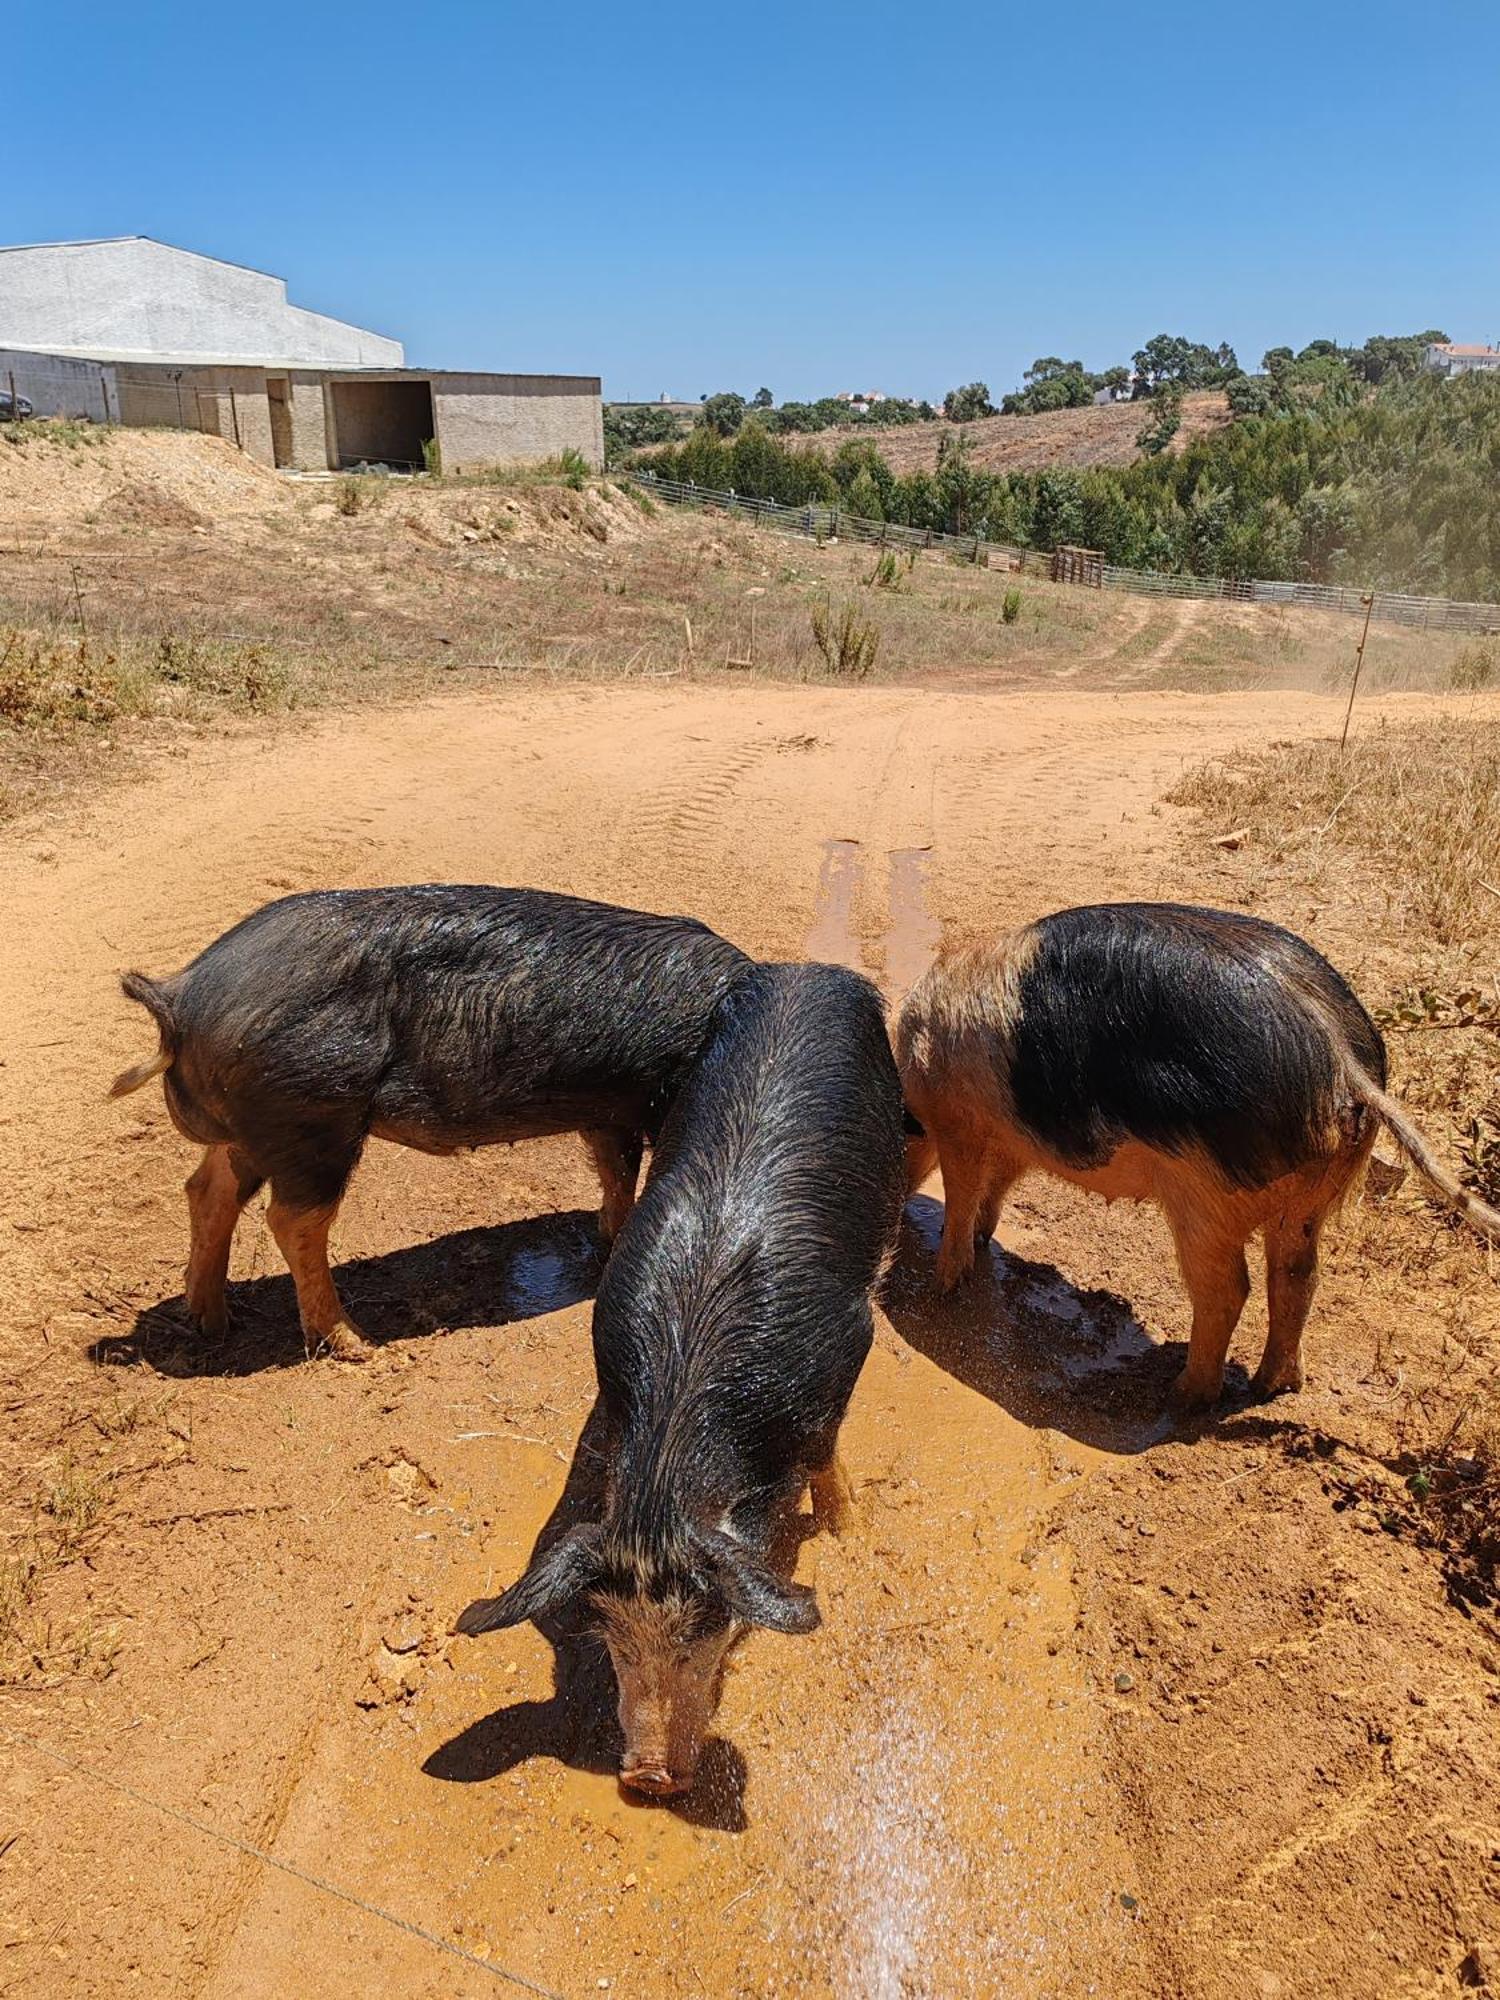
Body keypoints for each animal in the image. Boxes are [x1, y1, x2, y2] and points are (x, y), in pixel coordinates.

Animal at [456, 956, 904, 1800]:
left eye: (706, 1629)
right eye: (612, 1638)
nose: (649, 1779)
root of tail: (810, 969)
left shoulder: (847, 1343)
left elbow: (825, 1449)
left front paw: (848, 1531)